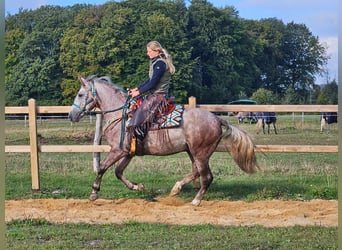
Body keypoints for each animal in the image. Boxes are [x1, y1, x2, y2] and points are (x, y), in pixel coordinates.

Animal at [67, 75, 260, 205]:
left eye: (80, 94)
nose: (71, 115)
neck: (122, 115)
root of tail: (217, 119)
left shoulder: (118, 150)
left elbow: (102, 168)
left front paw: (94, 193)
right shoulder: (128, 153)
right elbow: (118, 172)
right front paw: (138, 187)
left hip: (200, 153)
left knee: (206, 177)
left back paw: (196, 200)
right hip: (193, 152)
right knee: (197, 172)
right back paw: (176, 189)